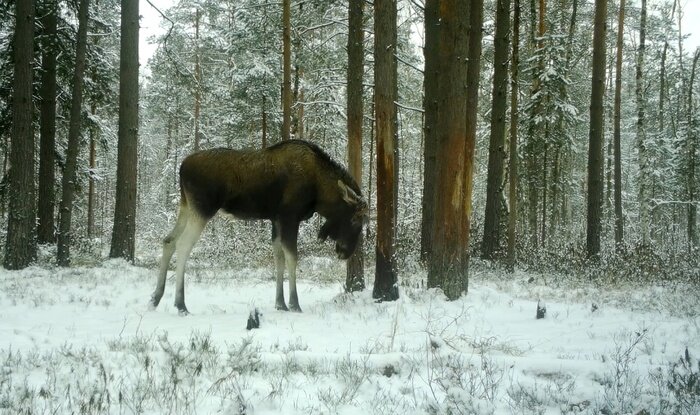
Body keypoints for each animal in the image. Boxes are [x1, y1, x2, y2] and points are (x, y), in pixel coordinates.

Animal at [150, 140, 370, 316]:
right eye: (355, 219)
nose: (344, 252)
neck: (319, 193)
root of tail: (181, 168)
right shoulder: (289, 217)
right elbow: (292, 258)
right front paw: (294, 303)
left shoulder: (276, 220)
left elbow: (278, 258)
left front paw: (280, 303)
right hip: (202, 209)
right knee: (183, 245)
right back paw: (180, 304)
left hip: (186, 206)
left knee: (168, 240)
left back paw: (155, 297)